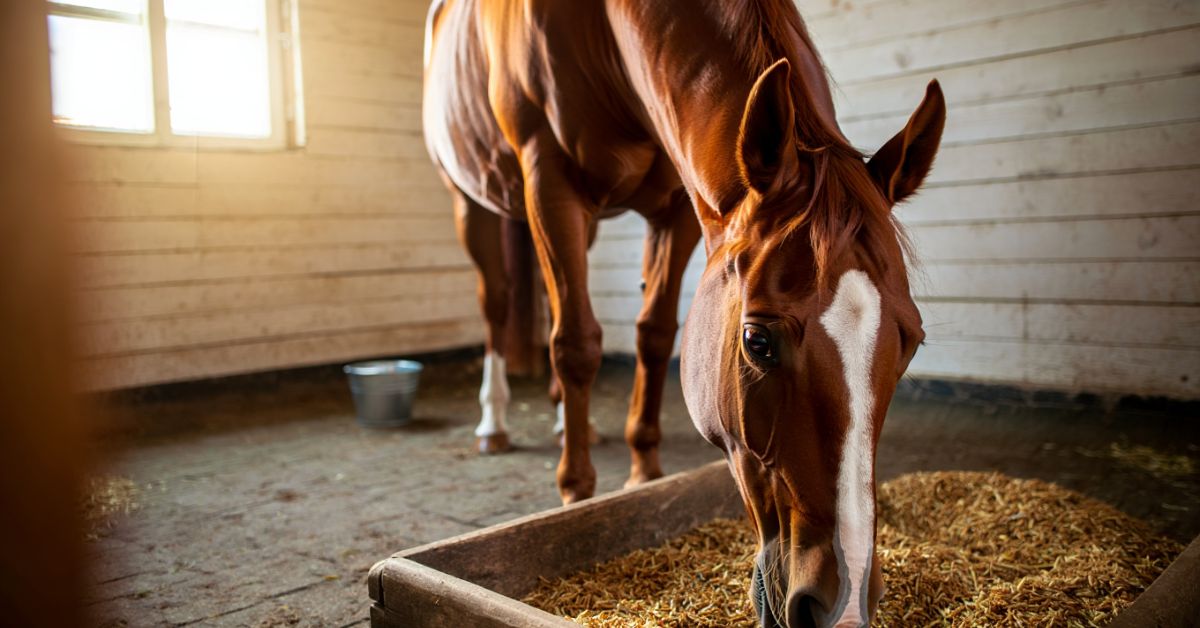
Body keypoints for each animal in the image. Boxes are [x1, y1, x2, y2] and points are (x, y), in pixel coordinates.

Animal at [423, 1, 944, 626]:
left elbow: (653, 334)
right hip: (473, 199)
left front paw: (643, 470)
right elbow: (576, 344)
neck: (598, 30)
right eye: (757, 341)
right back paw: (494, 423)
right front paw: (576, 492)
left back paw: (569, 421)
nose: (841, 606)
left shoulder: (674, 206)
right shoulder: (549, 180)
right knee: (499, 304)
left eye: (910, 341)